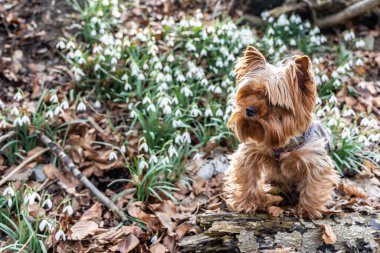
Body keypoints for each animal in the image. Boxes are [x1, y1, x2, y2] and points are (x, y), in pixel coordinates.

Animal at [224, 46, 340, 218]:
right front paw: (247, 203)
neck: (282, 144)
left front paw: (308, 210)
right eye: (249, 93)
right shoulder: (251, 150)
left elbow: (314, 184)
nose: (249, 110)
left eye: (271, 102)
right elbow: (246, 176)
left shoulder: (314, 160)